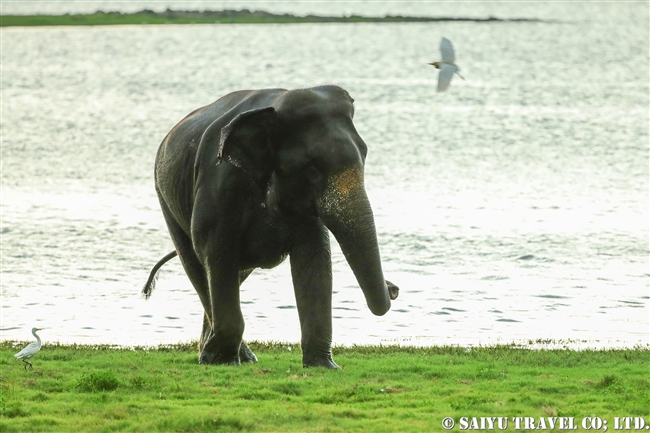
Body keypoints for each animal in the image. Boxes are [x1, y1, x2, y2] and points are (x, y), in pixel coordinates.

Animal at [144, 85, 398, 368]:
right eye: (311, 168)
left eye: (364, 154)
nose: (393, 288)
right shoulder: (219, 185)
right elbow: (215, 250)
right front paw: (221, 360)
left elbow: (314, 258)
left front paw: (323, 366)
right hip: (166, 199)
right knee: (196, 266)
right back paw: (223, 355)